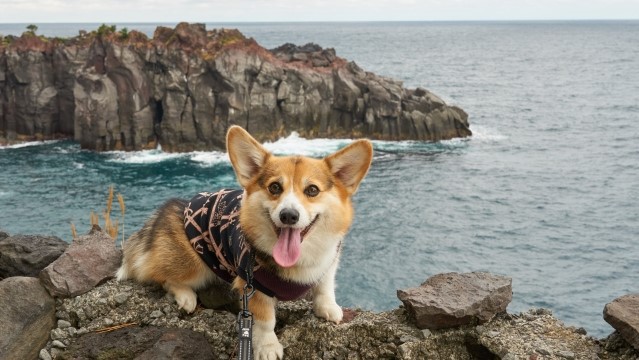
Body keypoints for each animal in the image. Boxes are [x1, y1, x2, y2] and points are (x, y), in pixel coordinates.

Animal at [117, 125, 372, 358]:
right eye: (274, 187)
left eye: (312, 190)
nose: (288, 215)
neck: (302, 257)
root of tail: (172, 210)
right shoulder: (253, 286)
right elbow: (266, 320)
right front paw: (268, 348)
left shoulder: (329, 263)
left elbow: (325, 287)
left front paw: (328, 308)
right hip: (193, 264)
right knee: (160, 274)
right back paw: (185, 297)